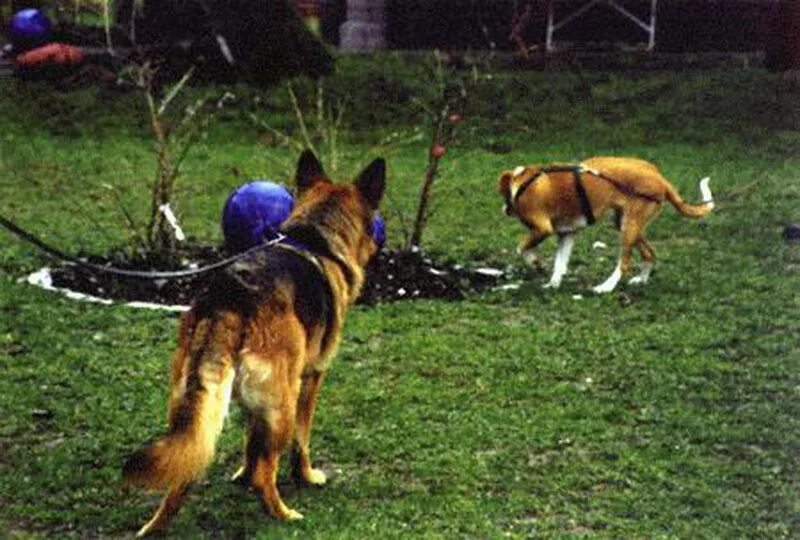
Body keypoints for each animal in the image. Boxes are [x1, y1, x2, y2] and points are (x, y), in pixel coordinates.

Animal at [122, 151, 388, 536]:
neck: (316, 239)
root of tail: (229, 299)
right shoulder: (310, 380)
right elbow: (300, 443)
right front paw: (306, 477)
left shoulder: (251, 404)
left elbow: (251, 444)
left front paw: (241, 475)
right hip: (284, 402)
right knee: (267, 472)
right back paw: (283, 514)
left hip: (196, 410)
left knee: (187, 463)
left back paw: (155, 527)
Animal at [496, 157, 716, 292]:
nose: (504, 209)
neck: (524, 182)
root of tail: (660, 178)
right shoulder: (567, 234)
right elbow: (559, 264)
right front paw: (553, 285)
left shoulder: (542, 229)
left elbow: (521, 249)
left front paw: (537, 263)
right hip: (625, 223)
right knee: (649, 254)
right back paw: (641, 280)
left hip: (629, 227)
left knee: (625, 263)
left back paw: (606, 287)